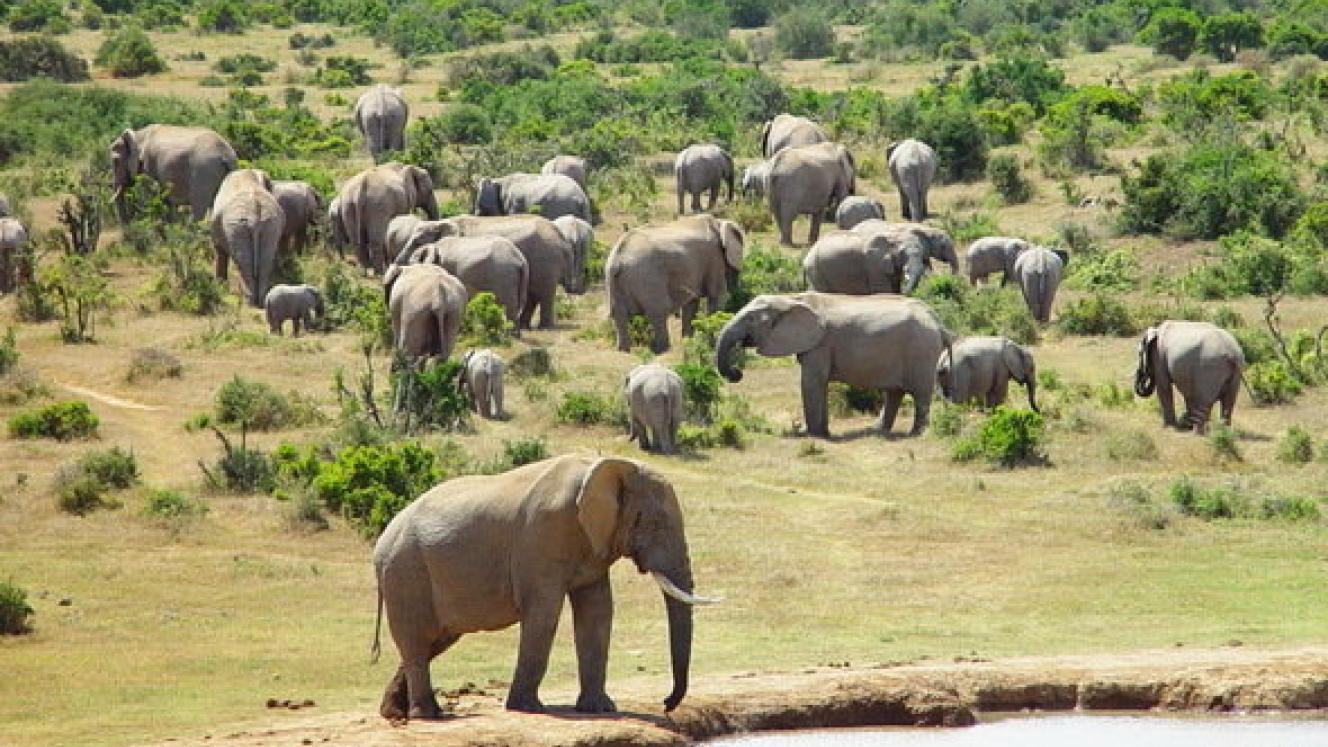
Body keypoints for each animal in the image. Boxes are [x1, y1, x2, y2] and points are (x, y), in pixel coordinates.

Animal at [210, 168, 285, 308]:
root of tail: (254, 217)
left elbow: (219, 250)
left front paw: (220, 287)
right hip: (270, 224)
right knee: (266, 261)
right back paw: (260, 301)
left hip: (236, 227)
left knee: (242, 263)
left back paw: (249, 302)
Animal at [372, 454, 712, 719]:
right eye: (651, 523)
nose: (666, 704)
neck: (610, 465)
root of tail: (381, 541)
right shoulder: (543, 534)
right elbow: (545, 612)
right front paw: (527, 708)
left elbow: (598, 612)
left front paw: (600, 709)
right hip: (405, 573)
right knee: (417, 640)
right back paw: (426, 716)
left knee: (436, 639)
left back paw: (397, 713)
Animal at [402, 214, 583, 329]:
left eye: (416, 242)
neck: (441, 222)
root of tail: (562, 239)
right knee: (534, 295)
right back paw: (525, 326)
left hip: (546, 260)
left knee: (543, 294)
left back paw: (542, 328)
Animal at [606, 214, 745, 354]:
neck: (719, 222)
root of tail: (618, 259)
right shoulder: (714, 258)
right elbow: (717, 297)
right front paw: (711, 345)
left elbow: (691, 305)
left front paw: (688, 342)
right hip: (648, 278)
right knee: (658, 312)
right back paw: (664, 351)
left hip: (614, 282)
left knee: (619, 316)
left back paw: (623, 351)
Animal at [717, 293, 951, 438]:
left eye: (750, 319)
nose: (737, 373)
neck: (790, 298)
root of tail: (938, 322)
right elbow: (818, 384)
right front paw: (823, 433)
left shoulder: (820, 343)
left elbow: (811, 382)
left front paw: (809, 434)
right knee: (895, 393)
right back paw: (876, 431)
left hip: (921, 352)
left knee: (921, 394)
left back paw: (917, 434)